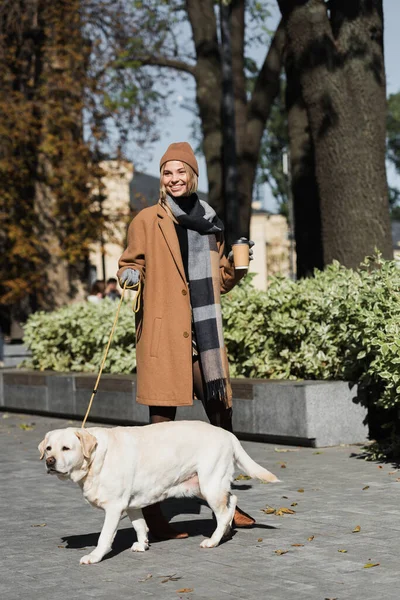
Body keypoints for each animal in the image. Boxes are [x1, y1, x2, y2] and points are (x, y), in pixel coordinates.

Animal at [38, 420, 278, 564]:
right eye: (49, 448)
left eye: (66, 448)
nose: (49, 461)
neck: (96, 457)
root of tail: (228, 434)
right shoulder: (131, 504)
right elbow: (139, 525)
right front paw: (143, 544)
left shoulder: (114, 507)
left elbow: (104, 536)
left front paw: (95, 556)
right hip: (202, 486)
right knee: (231, 500)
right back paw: (226, 531)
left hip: (210, 484)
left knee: (224, 512)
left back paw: (213, 540)